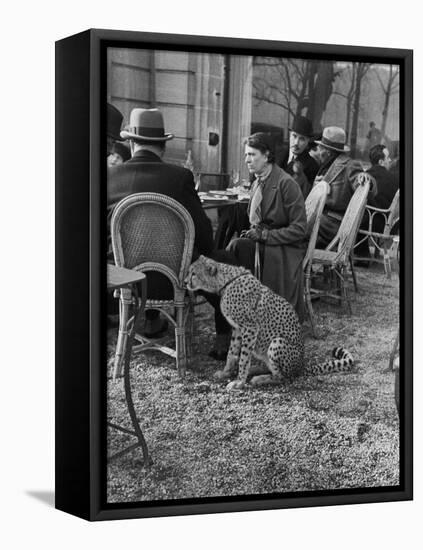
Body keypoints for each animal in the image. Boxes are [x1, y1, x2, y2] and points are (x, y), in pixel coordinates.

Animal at [186, 256, 354, 392]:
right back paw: (256, 369)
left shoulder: (250, 327)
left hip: (277, 342)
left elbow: (244, 357)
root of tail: (301, 366)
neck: (226, 281)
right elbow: (232, 353)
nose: (185, 282)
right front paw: (226, 372)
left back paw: (260, 378)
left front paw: (239, 381)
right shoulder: (237, 329)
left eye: (194, 273)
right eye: (189, 271)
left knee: (283, 377)